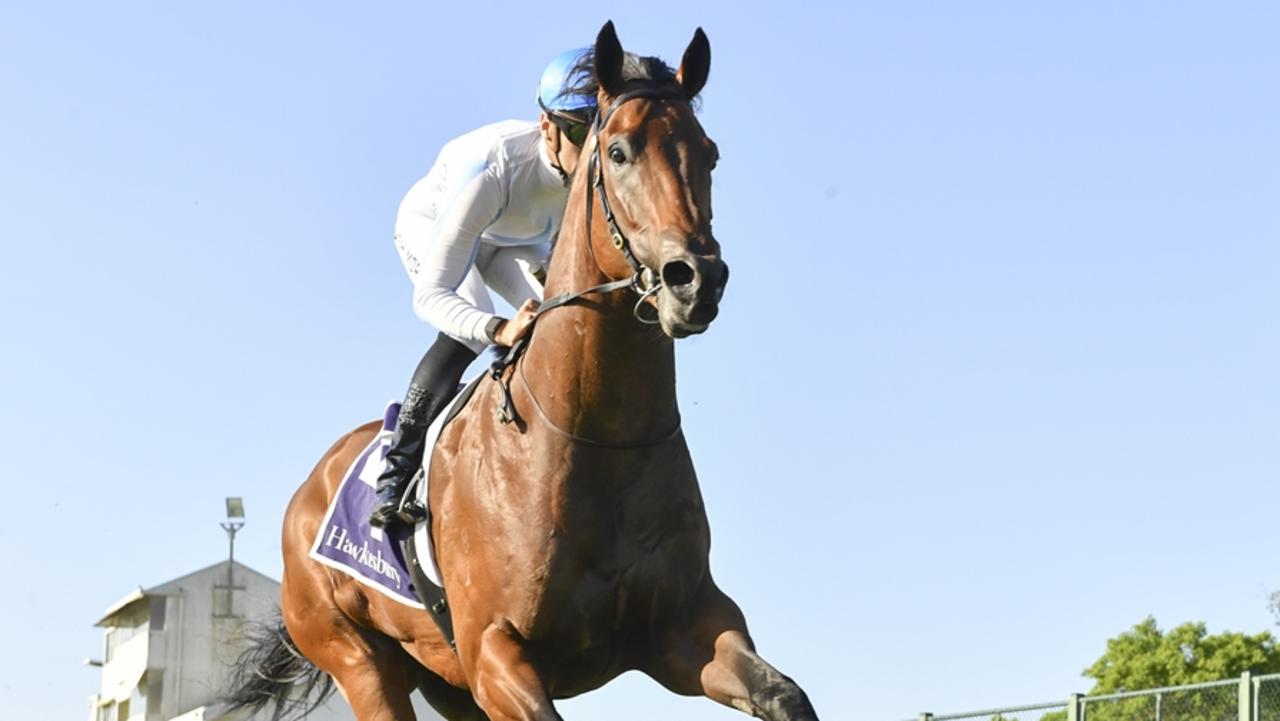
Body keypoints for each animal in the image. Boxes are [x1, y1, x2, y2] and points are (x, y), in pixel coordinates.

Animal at [222, 22, 819, 721]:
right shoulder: (495, 653)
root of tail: (306, 492)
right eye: (618, 151)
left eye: (710, 154)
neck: (595, 440)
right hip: (360, 657)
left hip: (446, 681)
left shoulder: (687, 630)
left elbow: (785, 693)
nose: (694, 280)